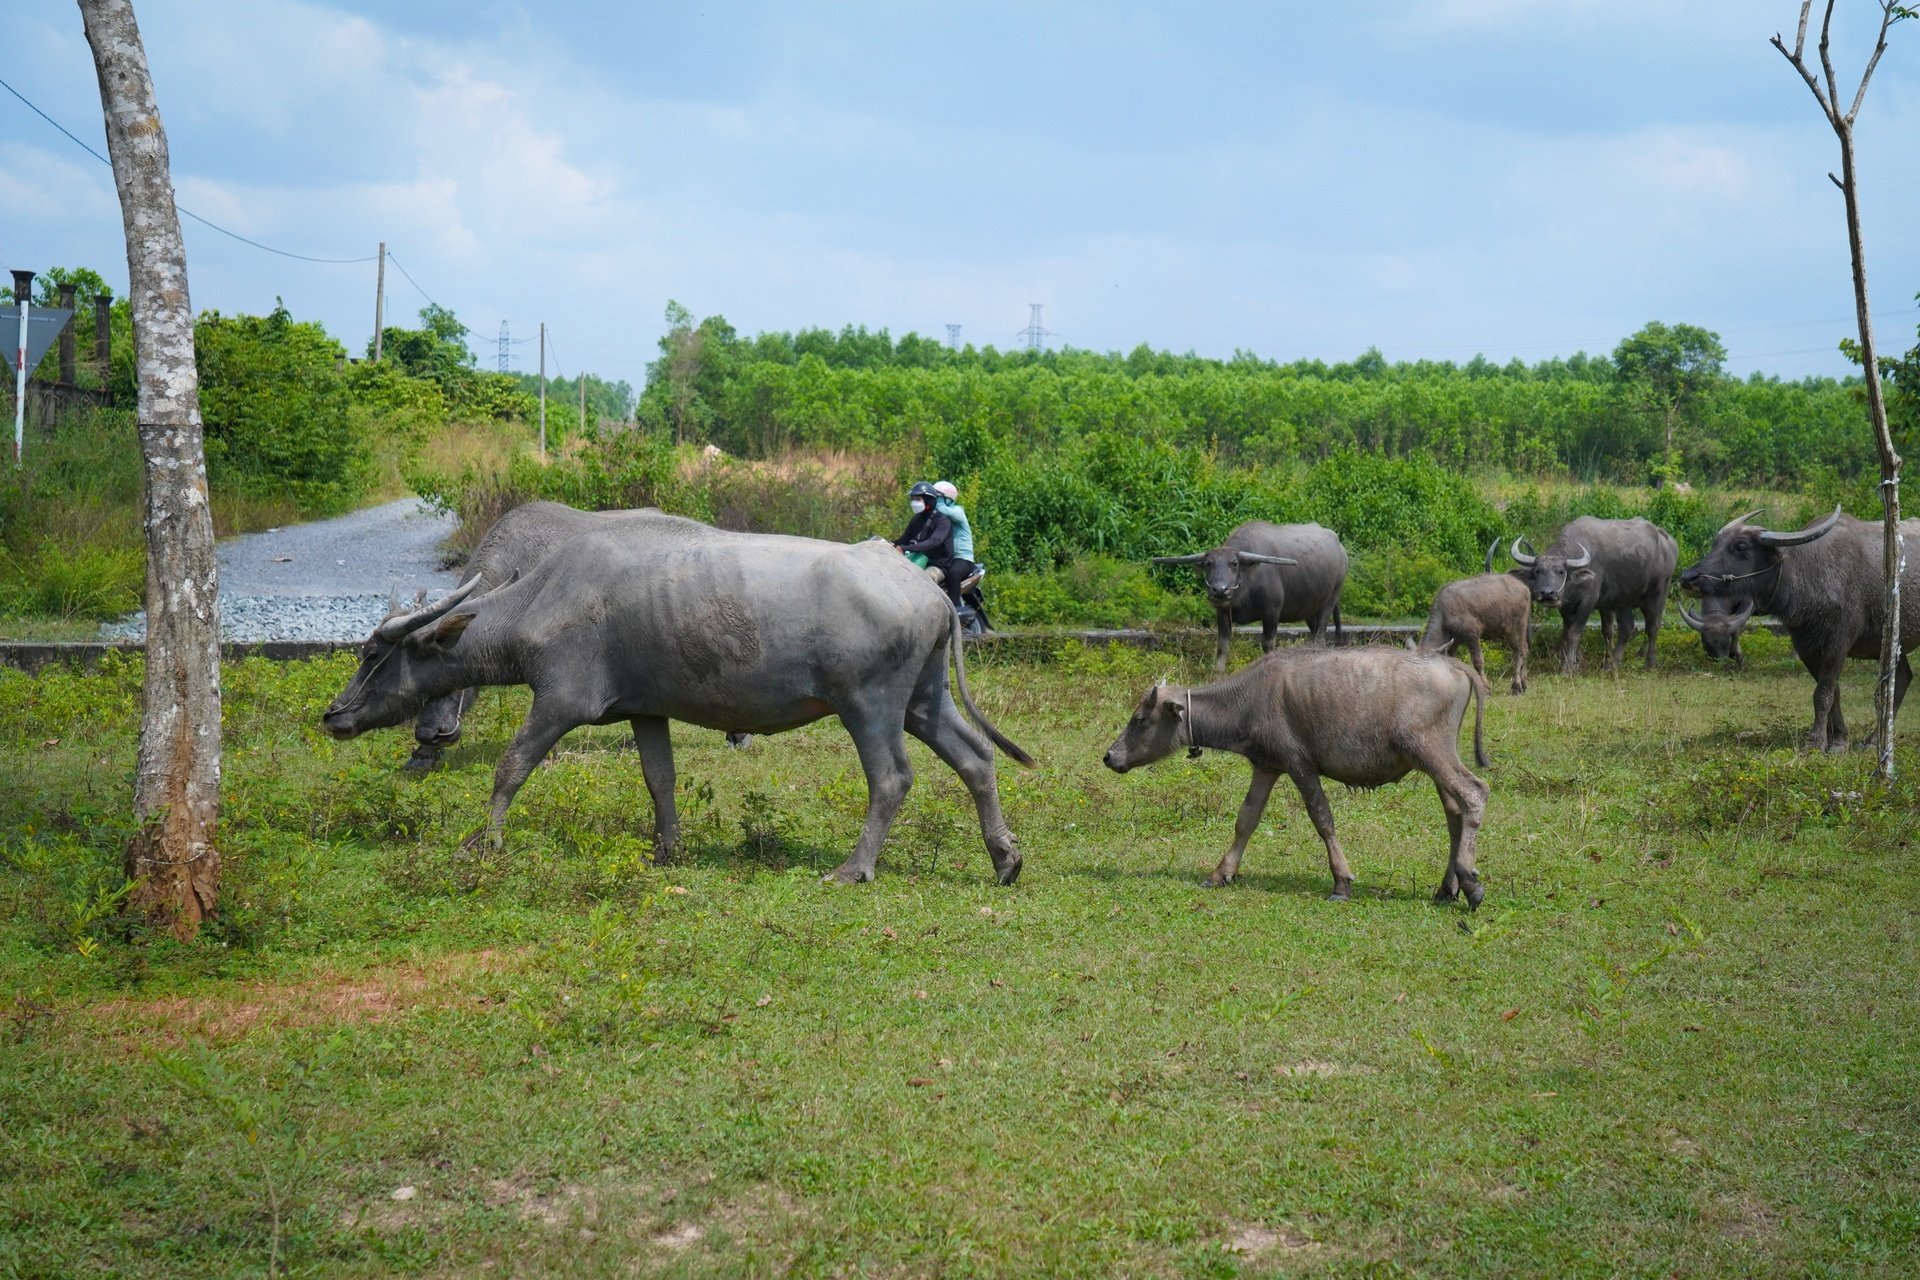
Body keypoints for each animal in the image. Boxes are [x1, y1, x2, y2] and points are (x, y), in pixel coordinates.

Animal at [1105, 652, 1489, 909]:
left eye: (1139, 719)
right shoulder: (1266, 766)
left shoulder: (1299, 764)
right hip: (1435, 758)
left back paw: (1470, 882)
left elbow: (1322, 818)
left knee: (1474, 793)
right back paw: (1446, 888)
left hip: (1429, 750)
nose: (1109, 756)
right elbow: (1246, 818)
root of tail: (1455, 666)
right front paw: (1221, 873)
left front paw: (1341, 883)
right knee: (1454, 813)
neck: (1250, 699)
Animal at [1413, 545, 1528, 702]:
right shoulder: (1454, 642)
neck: (1445, 615)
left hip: (1515, 628)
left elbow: (1478, 661)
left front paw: (1486, 689)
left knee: (1519, 653)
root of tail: (1524, 587)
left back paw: (1516, 686)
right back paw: (1524, 683)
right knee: (1525, 649)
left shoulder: (1472, 634)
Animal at [1505, 514, 1674, 675]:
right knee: (1626, 628)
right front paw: (1569, 663)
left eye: (1561, 572)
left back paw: (1648, 663)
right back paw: (1612, 664)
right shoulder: (1566, 606)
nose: (1548, 593)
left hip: (1657, 594)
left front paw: (1568, 668)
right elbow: (1567, 633)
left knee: (1652, 627)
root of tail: (1667, 541)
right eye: (1538, 571)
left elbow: (1574, 633)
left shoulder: (1588, 601)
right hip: (1623, 600)